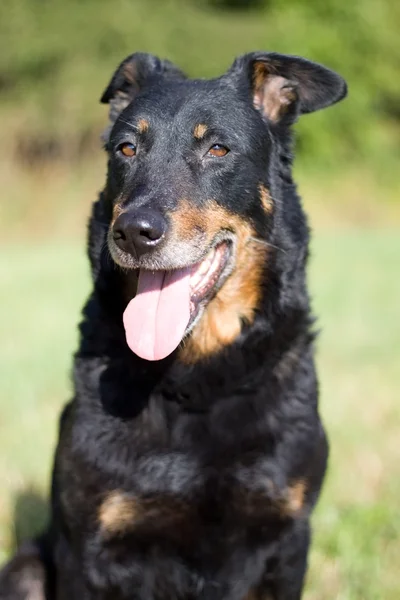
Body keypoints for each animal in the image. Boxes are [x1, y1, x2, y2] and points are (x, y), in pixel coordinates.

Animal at [0, 51, 346, 600]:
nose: (134, 232)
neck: (195, 381)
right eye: (126, 148)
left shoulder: (286, 539)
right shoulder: (88, 549)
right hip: (26, 570)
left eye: (218, 148)